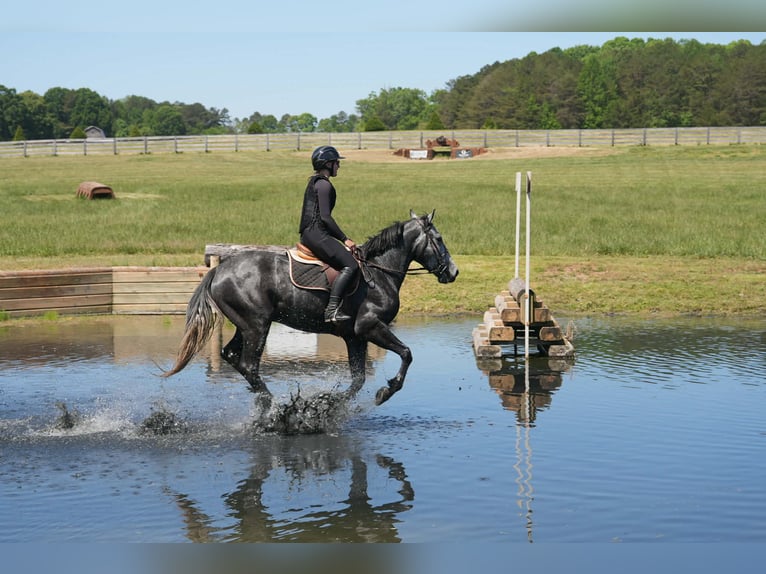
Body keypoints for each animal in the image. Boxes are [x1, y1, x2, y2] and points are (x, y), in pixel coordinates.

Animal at [162, 210, 459, 407]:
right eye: (439, 238)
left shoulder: (355, 336)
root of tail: (219, 270)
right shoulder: (370, 327)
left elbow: (358, 379)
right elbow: (406, 353)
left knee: (232, 356)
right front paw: (386, 392)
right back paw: (273, 406)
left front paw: (331, 404)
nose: (453, 272)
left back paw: (266, 402)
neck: (379, 272)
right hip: (257, 326)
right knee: (248, 364)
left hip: (245, 325)